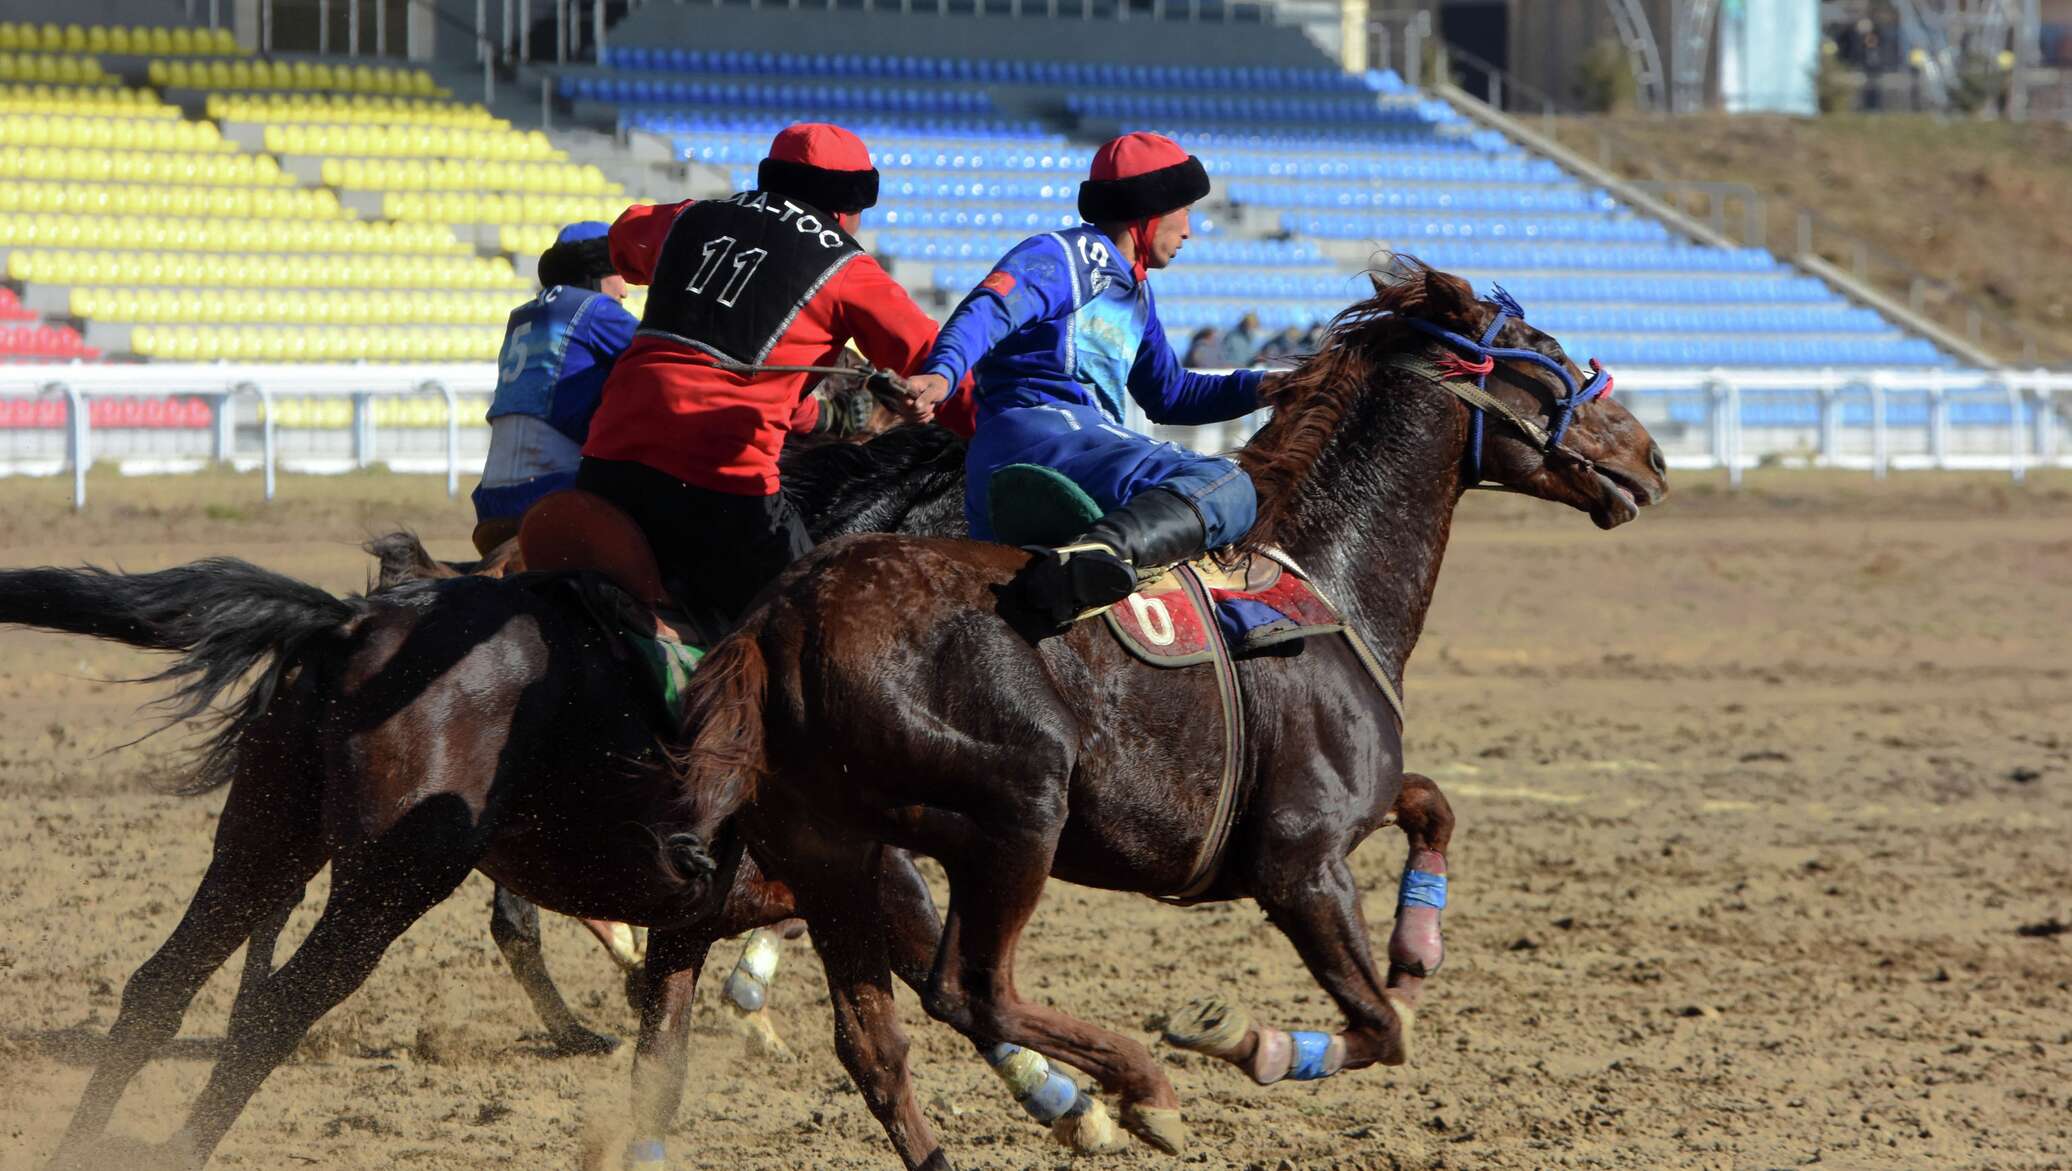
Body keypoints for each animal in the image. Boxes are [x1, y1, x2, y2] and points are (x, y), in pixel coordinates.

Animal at [671, 267, 1674, 1168]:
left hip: (836, 855)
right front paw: (1242, 1035)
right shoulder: (1301, 864)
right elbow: (1382, 1026)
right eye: (1544, 352)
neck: (1322, 578)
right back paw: (1142, 1086)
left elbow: (1433, 809)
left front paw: (1416, 945)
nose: (1653, 458)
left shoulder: (1349, 812)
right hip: (1015, 819)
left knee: (874, 1042)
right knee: (971, 989)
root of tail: (781, 616)